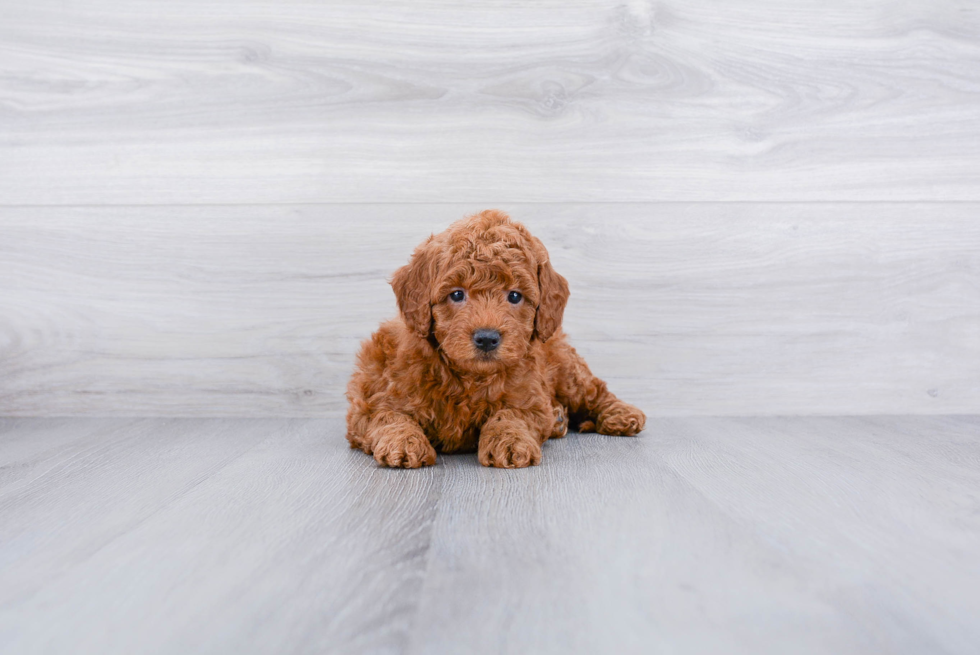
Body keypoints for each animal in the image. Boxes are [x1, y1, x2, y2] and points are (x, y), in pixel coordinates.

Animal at [348, 208, 648, 468]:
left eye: (514, 296)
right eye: (457, 294)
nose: (487, 338)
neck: (468, 378)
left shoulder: (528, 398)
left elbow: (509, 414)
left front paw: (511, 442)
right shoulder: (372, 401)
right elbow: (390, 416)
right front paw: (404, 443)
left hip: (567, 371)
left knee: (595, 391)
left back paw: (621, 415)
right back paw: (561, 419)